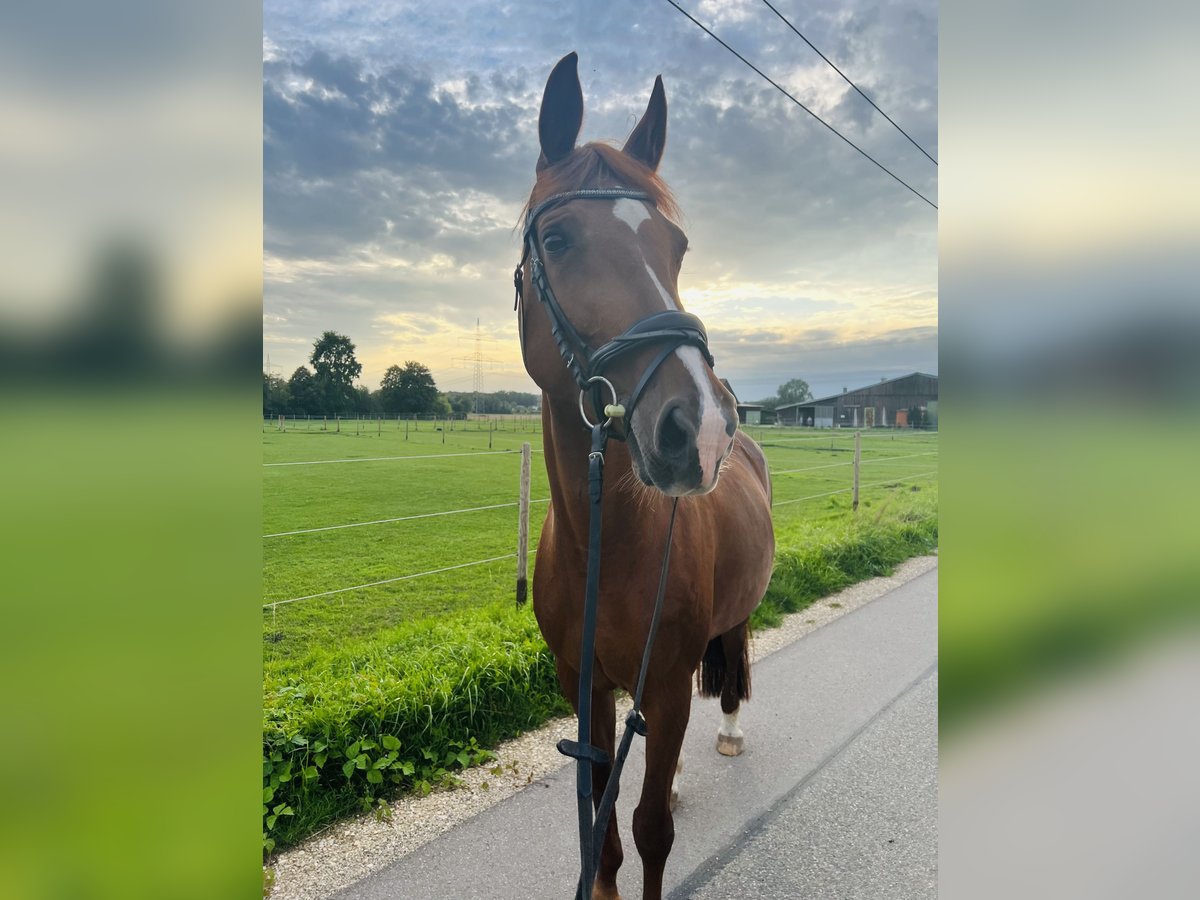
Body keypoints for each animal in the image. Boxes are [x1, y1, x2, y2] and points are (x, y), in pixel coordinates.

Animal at [516, 52, 777, 897]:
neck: (606, 543)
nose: (702, 427)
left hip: (727, 626)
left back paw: (729, 731)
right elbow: (601, 836)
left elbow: (650, 830)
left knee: (734, 662)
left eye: (679, 247)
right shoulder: (586, 686)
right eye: (557, 237)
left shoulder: (663, 681)